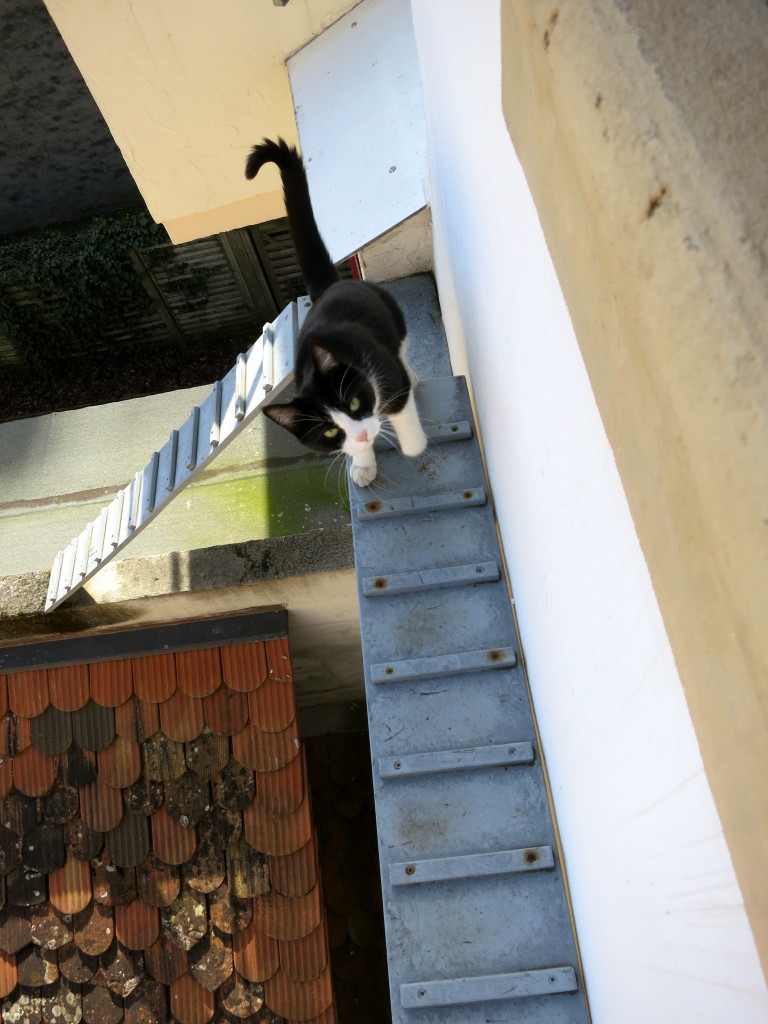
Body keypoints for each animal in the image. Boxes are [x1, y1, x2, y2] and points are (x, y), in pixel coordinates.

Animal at [244, 140, 428, 487]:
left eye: (354, 403)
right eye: (330, 431)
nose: (361, 436)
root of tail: (329, 287)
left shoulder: (381, 367)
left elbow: (398, 404)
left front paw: (414, 445)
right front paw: (362, 462)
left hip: (390, 310)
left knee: (402, 345)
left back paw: (410, 374)